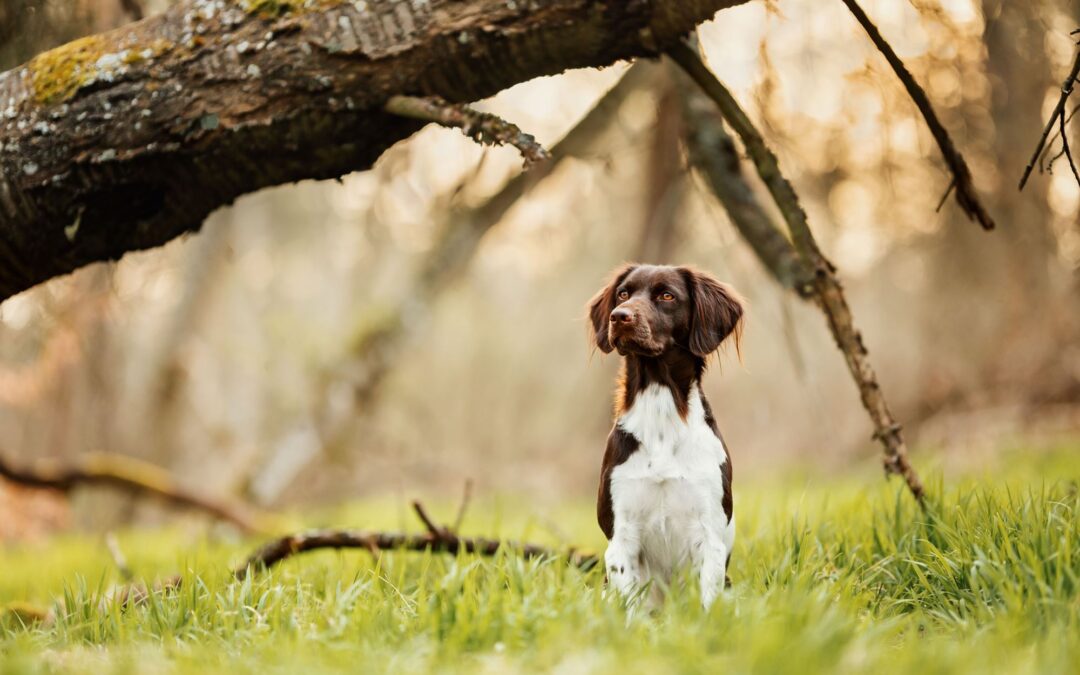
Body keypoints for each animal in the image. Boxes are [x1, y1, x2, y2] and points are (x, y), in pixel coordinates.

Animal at [591, 263, 743, 609]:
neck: (661, 416)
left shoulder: (709, 535)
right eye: (624, 293)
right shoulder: (621, 537)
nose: (619, 316)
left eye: (667, 296)